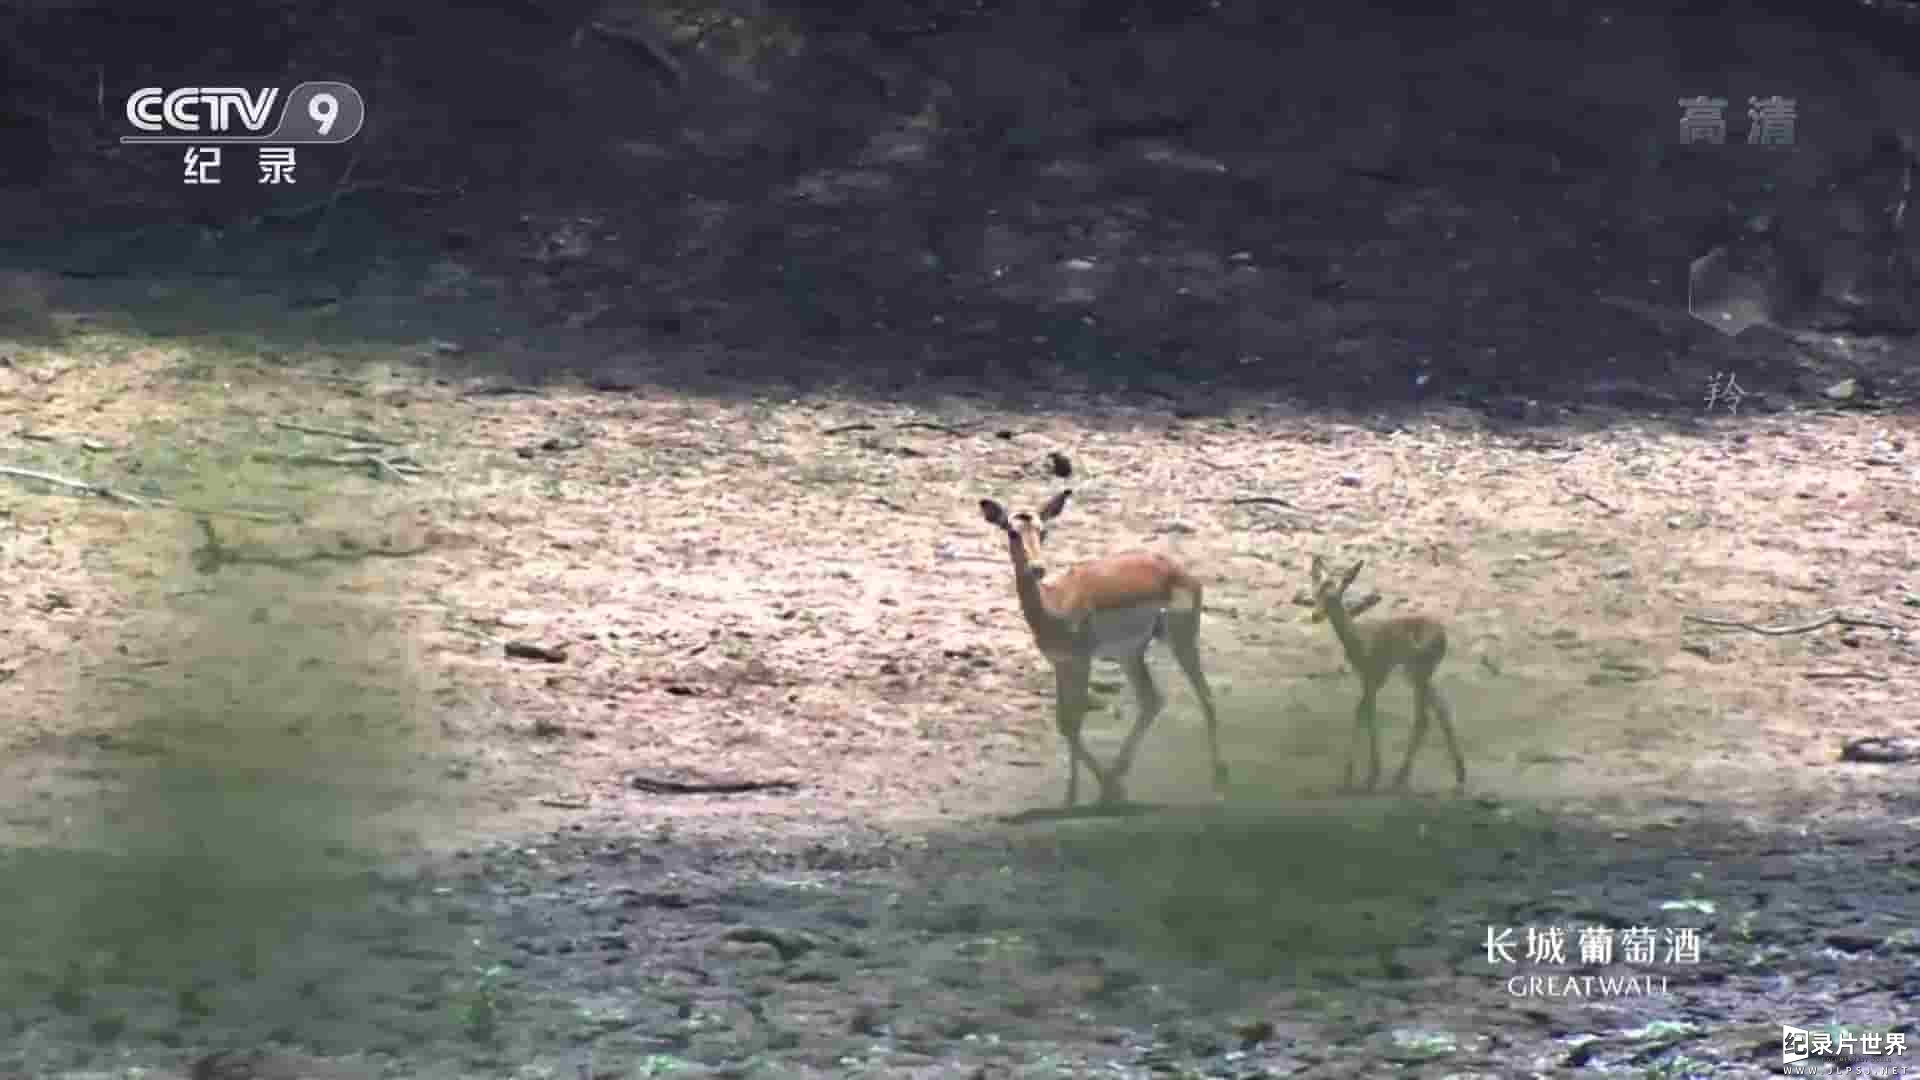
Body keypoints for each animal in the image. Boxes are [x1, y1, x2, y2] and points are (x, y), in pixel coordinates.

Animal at [983, 488, 1221, 807]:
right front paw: (1072, 797)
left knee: (1204, 696)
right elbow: (1064, 722)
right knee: (1152, 699)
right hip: (1131, 654)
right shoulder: (1061, 664)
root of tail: (1183, 573)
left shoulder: (1082, 662)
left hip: (1180, 639)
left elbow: (1073, 721)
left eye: (1043, 531)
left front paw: (1100, 790)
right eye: (1011, 531)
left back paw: (1217, 784)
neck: (1054, 604)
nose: (1038, 568)